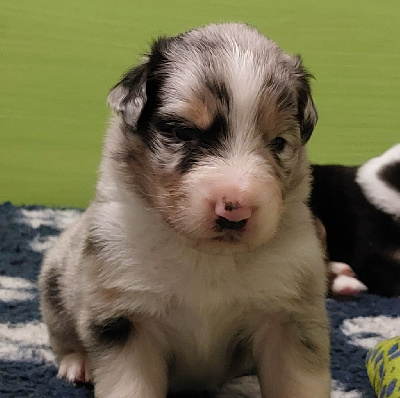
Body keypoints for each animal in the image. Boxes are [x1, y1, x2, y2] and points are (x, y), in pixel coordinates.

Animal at [39, 23, 332, 396]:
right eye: (183, 131)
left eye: (278, 142)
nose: (235, 210)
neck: (206, 257)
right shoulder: (125, 316)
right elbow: (131, 384)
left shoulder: (289, 315)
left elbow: (295, 380)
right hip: (55, 284)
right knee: (62, 335)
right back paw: (78, 363)